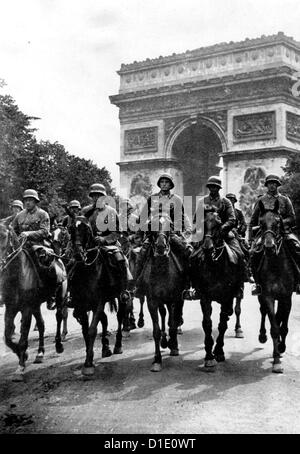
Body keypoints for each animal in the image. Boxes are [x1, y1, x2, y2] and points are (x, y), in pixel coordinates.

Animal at [0, 224, 67, 380]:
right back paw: (40, 353)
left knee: (59, 317)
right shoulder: (10, 308)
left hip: (60, 298)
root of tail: (59, 259)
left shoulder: (26, 309)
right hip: (36, 306)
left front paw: (20, 367)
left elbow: (23, 336)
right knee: (41, 325)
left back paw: (59, 345)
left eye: (3, 237)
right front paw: (23, 355)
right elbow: (7, 337)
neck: (16, 274)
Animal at [67, 216, 127, 376]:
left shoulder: (99, 302)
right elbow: (85, 331)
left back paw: (117, 345)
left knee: (119, 316)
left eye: (87, 229)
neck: (88, 271)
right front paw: (89, 356)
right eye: (70, 228)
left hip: (120, 297)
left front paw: (88, 363)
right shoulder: (81, 305)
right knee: (104, 319)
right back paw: (106, 347)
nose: (78, 254)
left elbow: (92, 330)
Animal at [141, 217, 186, 372]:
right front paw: (157, 360)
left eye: (170, 225)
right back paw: (164, 340)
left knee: (173, 317)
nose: (160, 247)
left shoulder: (175, 298)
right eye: (151, 225)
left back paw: (172, 343)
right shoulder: (152, 301)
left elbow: (172, 324)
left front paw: (173, 345)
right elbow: (156, 330)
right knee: (164, 314)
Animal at [191, 209, 243, 368]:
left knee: (234, 310)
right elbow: (207, 324)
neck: (215, 265)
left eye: (218, 224)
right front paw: (209, 356)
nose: (207, 248)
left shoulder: (227, 298)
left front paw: (219, 351)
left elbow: (222, 324)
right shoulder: (205, 297)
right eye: (202, 223)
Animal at [251, 200, 296, 374]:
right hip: (260, 295)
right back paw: (262, 336)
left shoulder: (286, 298)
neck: (276, 265)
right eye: (261, 223)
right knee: (263, 312)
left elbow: (283, 326)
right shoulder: (268, 296)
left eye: (277, 222)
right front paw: (276, 360)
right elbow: (275, 327)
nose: (269, 247)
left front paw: (281, 349)